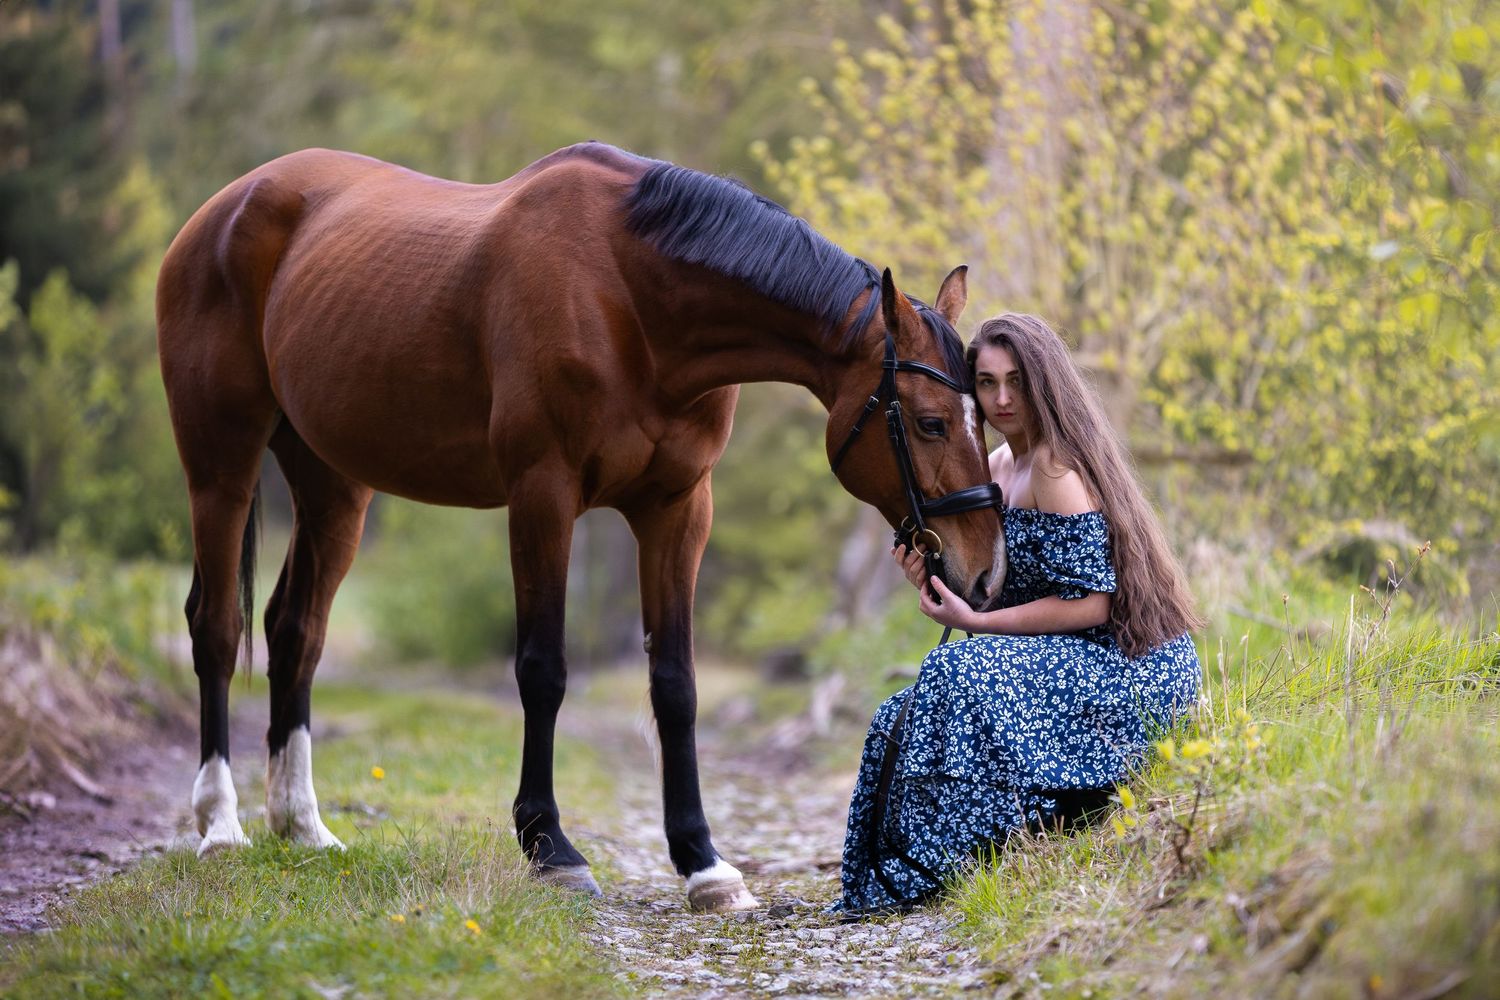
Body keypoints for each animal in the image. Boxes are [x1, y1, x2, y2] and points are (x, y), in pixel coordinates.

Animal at [155, 141, 1007, 912]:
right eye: (931, 422)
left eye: (985, 413)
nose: (985, 570)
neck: (633, 298)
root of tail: (225, 207)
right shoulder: (543, 495)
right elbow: (543, 670)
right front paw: (551, 849)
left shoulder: (678, 508)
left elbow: (675, 683)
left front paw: (703, 864)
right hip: (221, 464)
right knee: (217, 626)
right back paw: (221, 826)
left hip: (334, 482)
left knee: (295, 631)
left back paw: (301, 827)